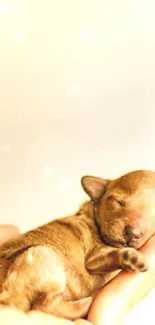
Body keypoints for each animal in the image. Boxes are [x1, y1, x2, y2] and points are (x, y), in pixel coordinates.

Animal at [0, 170, 154, 318]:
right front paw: (131, 257)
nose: (132, 233)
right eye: (118, 202)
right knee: (42, 305)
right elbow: (112, 254)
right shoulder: (94, 256)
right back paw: (84, 305)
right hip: (43, 253)